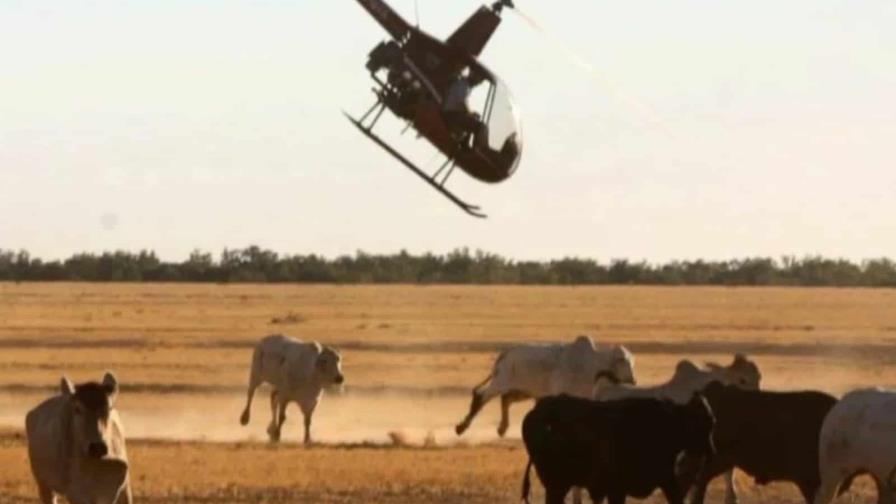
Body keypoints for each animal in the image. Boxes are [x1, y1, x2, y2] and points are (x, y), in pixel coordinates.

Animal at [25, 372, 132, 504]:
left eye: (109, 408)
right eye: (77, 409)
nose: (97, 447)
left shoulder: (122, 490)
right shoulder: (76, 494)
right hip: (43, 484)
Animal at [455, 335, 636, 437]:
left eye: (633, 363)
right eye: (625, 363)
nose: (633, 381)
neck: (593, 364)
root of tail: (506, 353)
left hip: (523, 391)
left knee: (505, 399)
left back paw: (502, 428)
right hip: (500, 381)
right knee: (481, 395)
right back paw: (461, 427)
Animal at [521, 394, 717, 504]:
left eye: (711, 423)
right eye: (704, 425)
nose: (711, 451)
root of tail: (537, 413)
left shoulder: (667, 479)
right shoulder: (616, 489)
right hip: (556, 486)